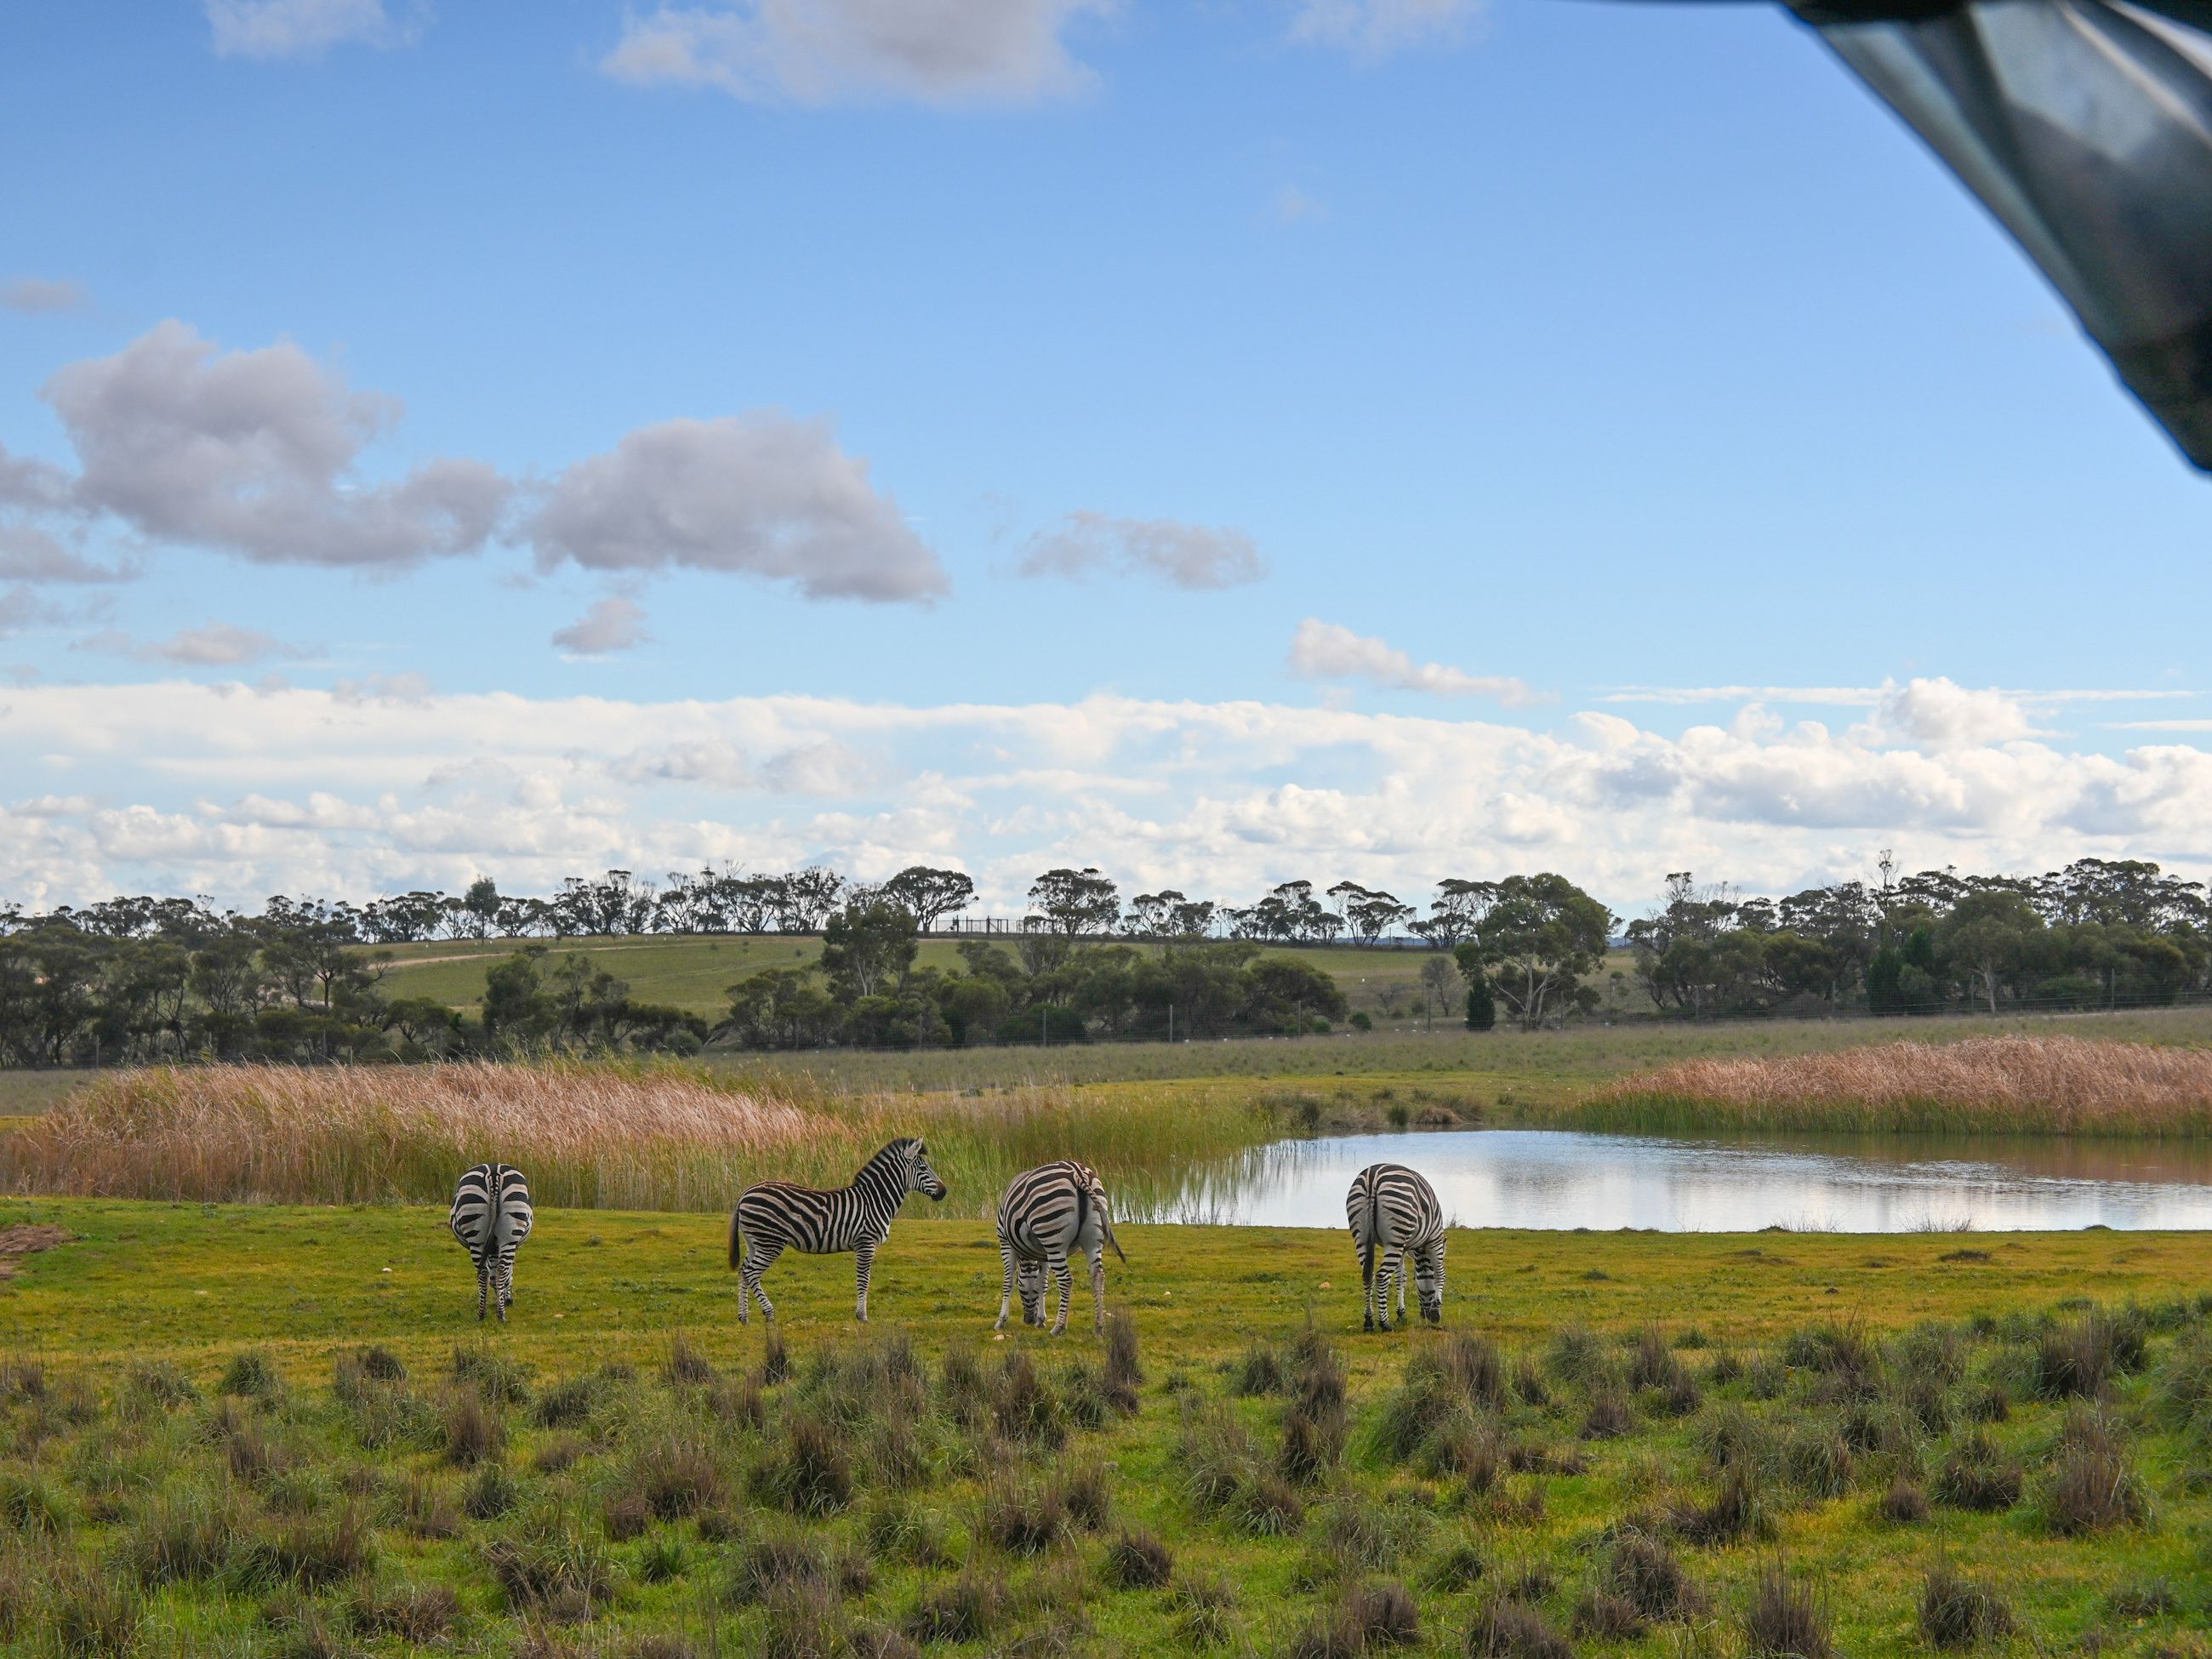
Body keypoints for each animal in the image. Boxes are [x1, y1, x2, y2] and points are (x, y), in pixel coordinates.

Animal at [449, 1163, 534, 1323]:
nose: (510, 1301)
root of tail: (494, 1172)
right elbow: (503, 1273)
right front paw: (502, 1299)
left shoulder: (494, 1248)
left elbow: (493, 1274)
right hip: (508, 1236)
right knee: (500, 1269)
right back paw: (499, 1315)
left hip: (477, 1235)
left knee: (484, 1271)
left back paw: (483, 1314)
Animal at [728, 1137, 947, 1324]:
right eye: (923, 1168)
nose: (944, 1192)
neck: (875, 1199)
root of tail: (745, 1193)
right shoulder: (865, 1243)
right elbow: (864, 1281)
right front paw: (862, 1316)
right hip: (770, 1241)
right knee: (750, 1273)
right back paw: (769, 1313)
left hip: (755, 1241)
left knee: (743, 1271)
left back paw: (744, 1317)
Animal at [993, 1160, 1127, 1336]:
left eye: (1022, 1290)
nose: (1029, 1320)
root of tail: (1078, 1173)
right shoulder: (1043, 1253)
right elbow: (1042, 1284)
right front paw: (1041, 1321)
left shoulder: (1005, 1242)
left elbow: (1008, 1282)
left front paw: (1001, 1321)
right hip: (1092, 1240)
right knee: (1098, 1276)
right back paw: (1099, 1326)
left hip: (1053, 1236)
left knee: (1066, 1280)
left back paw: (1058, 1327)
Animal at [1345, 1162, 1445, 1331]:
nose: (1426, 1317)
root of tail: (1372, 1178)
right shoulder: (1435, 1240)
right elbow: (1440, 1274)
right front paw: (1436, 1309)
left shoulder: (1404, 1248)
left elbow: (1401, 1277)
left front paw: (1401, 1313)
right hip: (1396, 1235)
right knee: (1382, 1276)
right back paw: (1384, 1324)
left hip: (1363, 1237)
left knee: (1368, 1276)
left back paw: (1369, 1322)